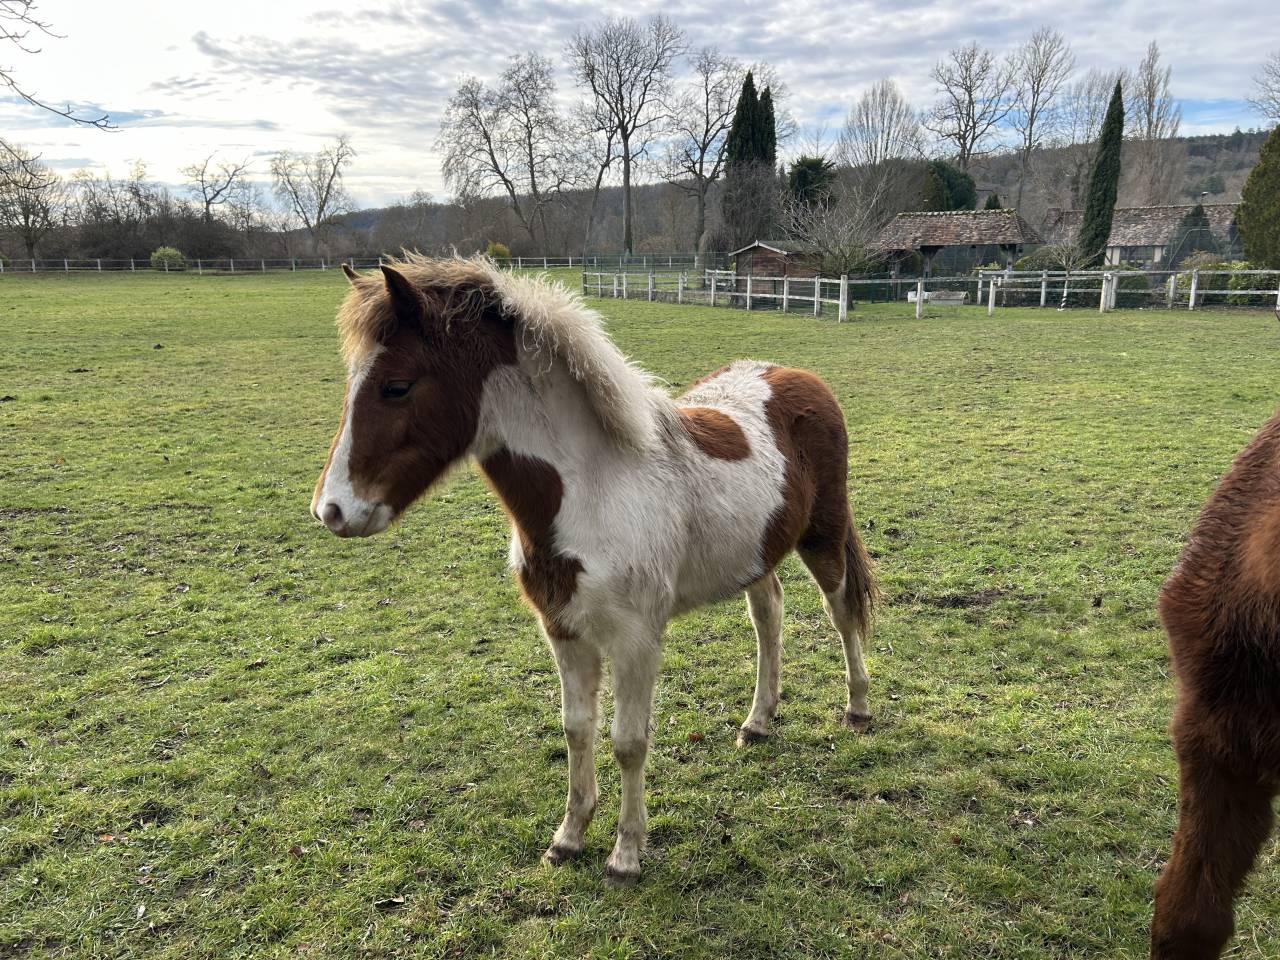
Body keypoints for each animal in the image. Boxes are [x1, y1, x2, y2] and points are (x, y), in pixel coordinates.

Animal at [311, 255, 878, 882]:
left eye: (396, 386)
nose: (331, 510)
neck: (593, 491)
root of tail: (796, 375)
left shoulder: (636, 640)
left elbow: (628, 741)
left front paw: (626, 854)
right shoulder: (562, 631)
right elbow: (577, 729)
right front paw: (569, 837)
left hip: (823, 534)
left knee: (841, 611)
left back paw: (857, 709)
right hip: (755, 554)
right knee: (769, 614)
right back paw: (758, 721)